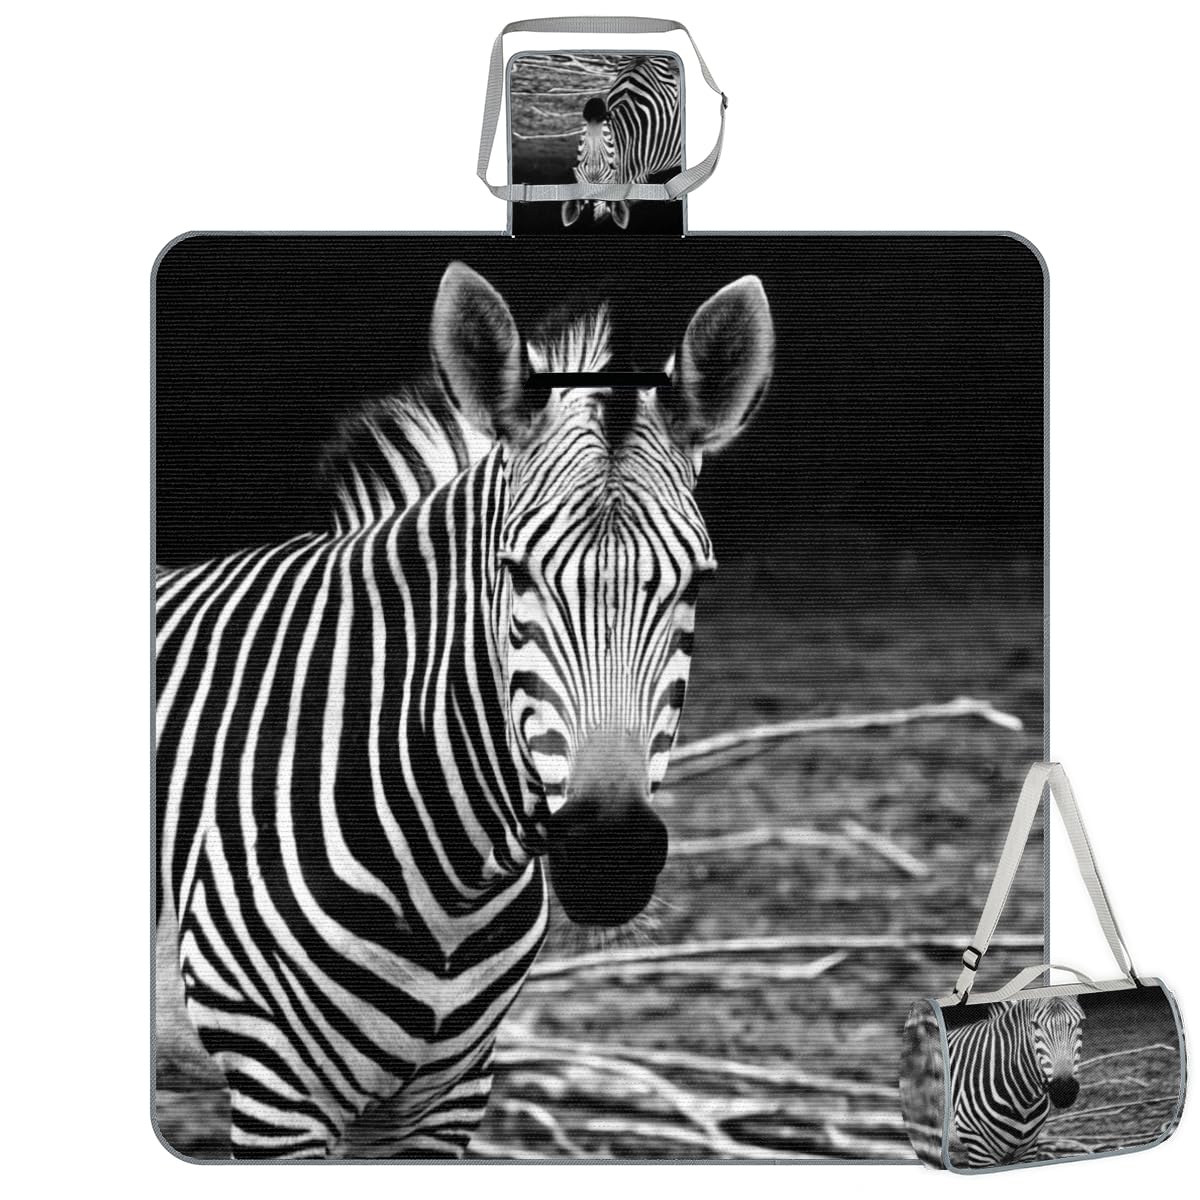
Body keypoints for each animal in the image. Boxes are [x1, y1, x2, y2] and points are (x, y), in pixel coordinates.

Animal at [156, 260, 775, 1158]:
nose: (609, 855)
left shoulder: (447, 1094)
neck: (452, 881)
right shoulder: (276, 1089)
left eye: (698, 581)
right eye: (513, 572)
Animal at [947, 996, 1085, 1167]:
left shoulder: (1027, 1149)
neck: (1025, 1103)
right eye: (1035, 1025)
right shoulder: (980, 1151)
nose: (1064, 1090)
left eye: (1080, 1023)